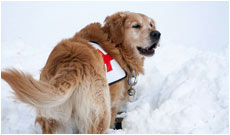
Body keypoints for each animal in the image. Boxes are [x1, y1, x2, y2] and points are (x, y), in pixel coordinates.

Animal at [1, 11, 160, 133]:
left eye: (151, 24)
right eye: (136, 26)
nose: (157, 34)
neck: (115, 45)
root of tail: (72, 62)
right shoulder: (113, 103)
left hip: (53, 117)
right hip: (100, 113)